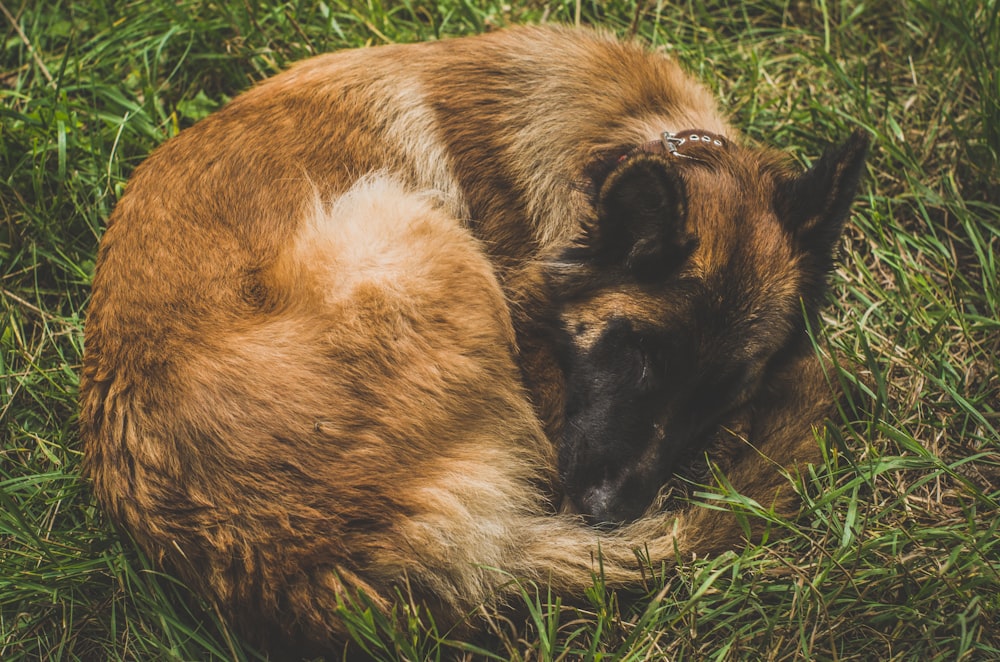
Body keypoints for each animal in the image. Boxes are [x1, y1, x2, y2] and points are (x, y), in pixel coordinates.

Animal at [80, 24, 868, 660]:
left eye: (719, 393)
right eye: (633, 350)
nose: (608, 512)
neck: (620, 137)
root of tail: (300, 554)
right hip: (400, 221)